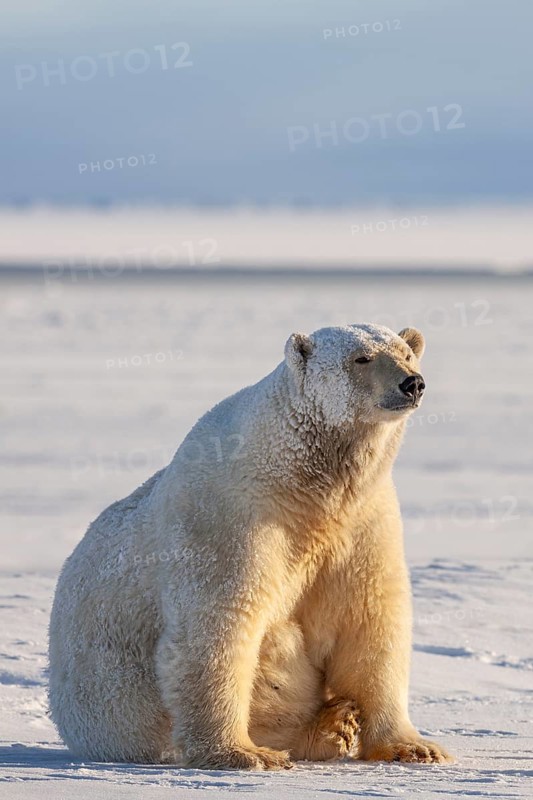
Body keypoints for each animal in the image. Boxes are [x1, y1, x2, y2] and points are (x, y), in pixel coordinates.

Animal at [48, 323, 453, 769]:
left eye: (406, 353)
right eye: (361, 358)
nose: (411, 383)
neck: (302, 484)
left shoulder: (361, 521)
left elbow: (369, 618)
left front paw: (414, 747)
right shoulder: (230, 516)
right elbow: (219, 624)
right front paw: (242, 753)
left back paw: (335, 723)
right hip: (112, 698)